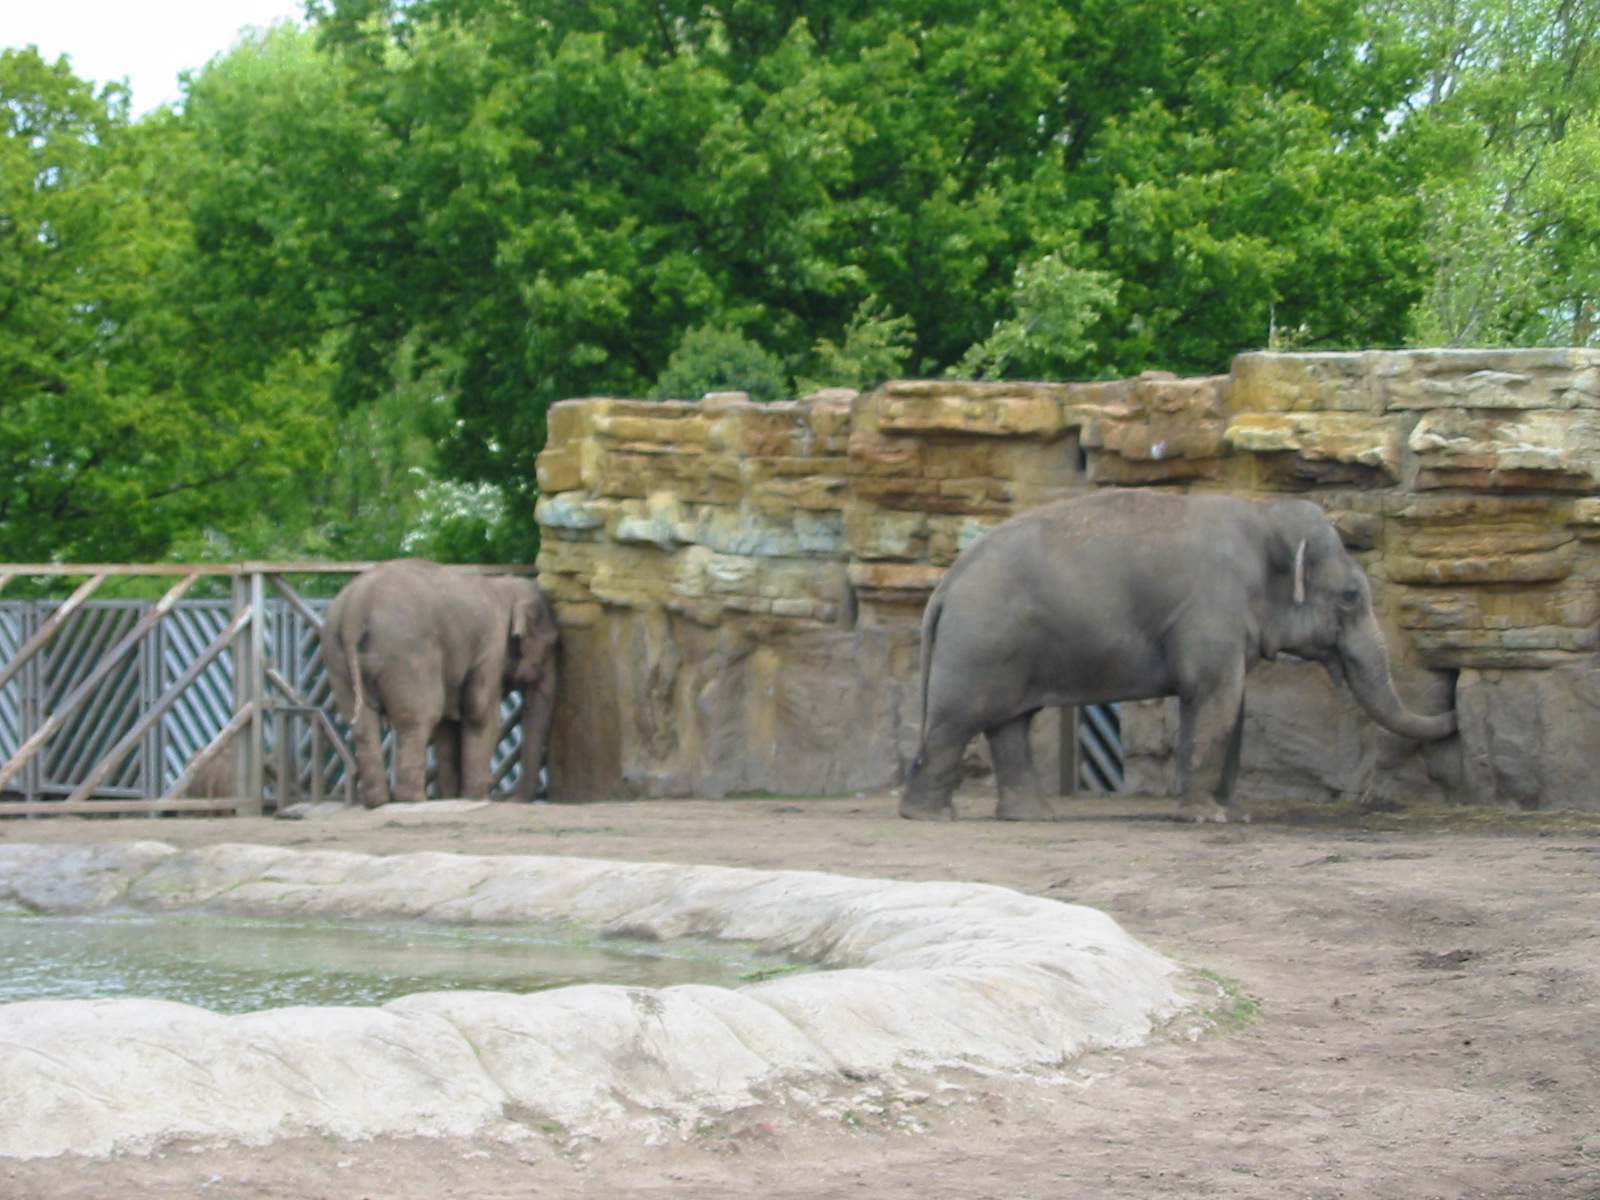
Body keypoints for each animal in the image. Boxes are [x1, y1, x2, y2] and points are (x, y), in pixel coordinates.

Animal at [320, 559, 558, 807]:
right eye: (553, 643)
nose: (514, 800)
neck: (504, 587)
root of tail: (353, 612)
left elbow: (449, 721)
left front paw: (452, 796)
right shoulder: (491, 646)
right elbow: (480, 713)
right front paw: (475, 797)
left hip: (335, 657)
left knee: (363, 723)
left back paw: (378, 801)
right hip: (407, 653)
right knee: (420, 715)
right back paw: (412, 798)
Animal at [900, 489, 1456, 823]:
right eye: (1351, 597)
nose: (1453, 707)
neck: (1263, 516)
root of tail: (946, 584)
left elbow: (1232, 706)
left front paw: (1234, 814)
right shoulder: (1212, 610)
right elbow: (1216, 699)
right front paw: (1207, 817)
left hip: (1008, 646)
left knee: (1010, 724)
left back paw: (1032, 817)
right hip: (981, 642)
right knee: (959, 720)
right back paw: (930, 816)